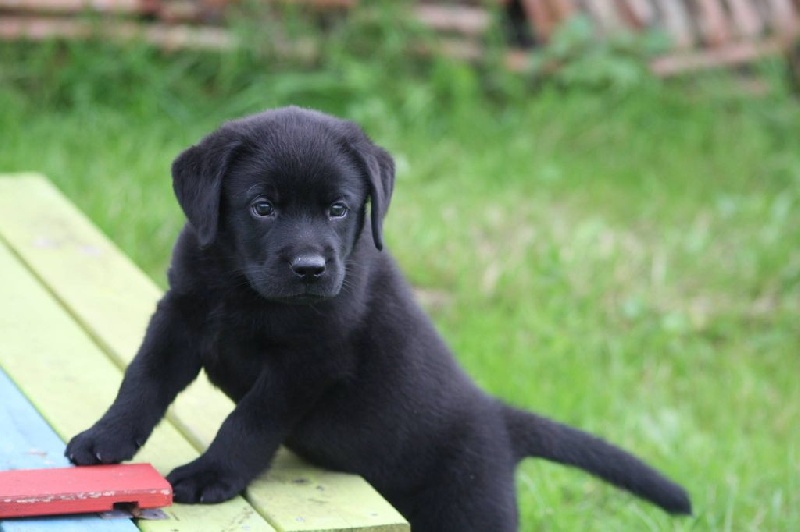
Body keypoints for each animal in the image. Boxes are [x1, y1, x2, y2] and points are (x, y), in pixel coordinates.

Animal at [69, 106, 692, 528]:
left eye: (338, 208)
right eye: (262, 207)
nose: (311, 268)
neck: (245, 288)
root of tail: (498, 420)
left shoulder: (310, 360)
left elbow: (250, 420)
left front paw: (212, 475)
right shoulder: (182, 315)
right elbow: (143, 380)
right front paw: (105, 440)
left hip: (467, 511)